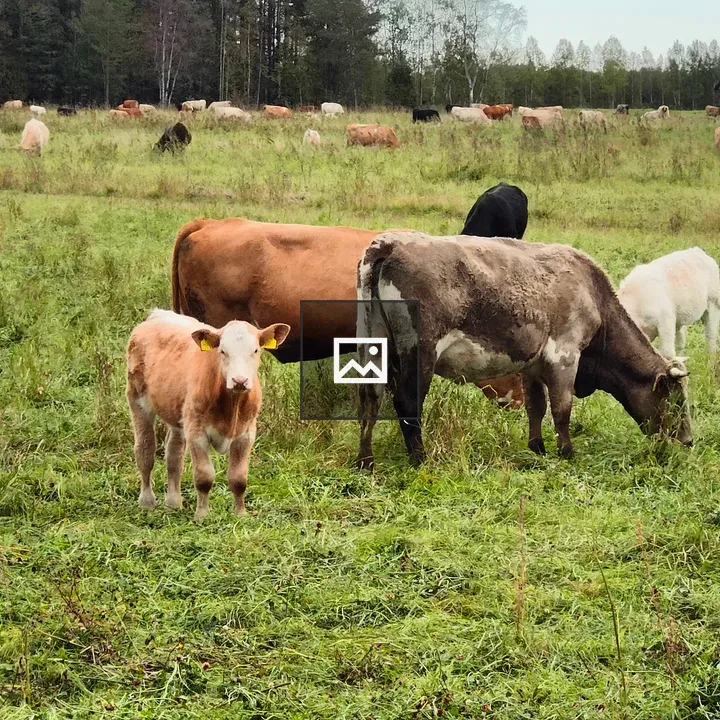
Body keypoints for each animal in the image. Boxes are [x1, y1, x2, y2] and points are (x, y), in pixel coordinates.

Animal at [127, 309, 290, 521]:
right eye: (222, 351)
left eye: (255, 350)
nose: (239, 380)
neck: (231, 405)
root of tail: (159, 315)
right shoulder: (196, 432)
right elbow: (204, 477)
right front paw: (202, 515)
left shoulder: (246, 433)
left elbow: (239, 478)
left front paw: (240, 514)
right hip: (137, 398)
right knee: (145, 451)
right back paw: (147, 501)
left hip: (178, 413)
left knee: (174, 454)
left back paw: (174, 502)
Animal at [354, 232, 692, 468]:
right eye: (676, 401)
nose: (688, 440)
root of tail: (390, 243)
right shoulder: (564, 354)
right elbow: (562, 409)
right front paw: (566, 452)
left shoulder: (532, 365)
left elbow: (536, 406)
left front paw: (537, 448)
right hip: (420, 351)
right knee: (407, 402)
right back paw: (420, 458)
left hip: (372, 342)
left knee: (370, 398)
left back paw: (365, 461)